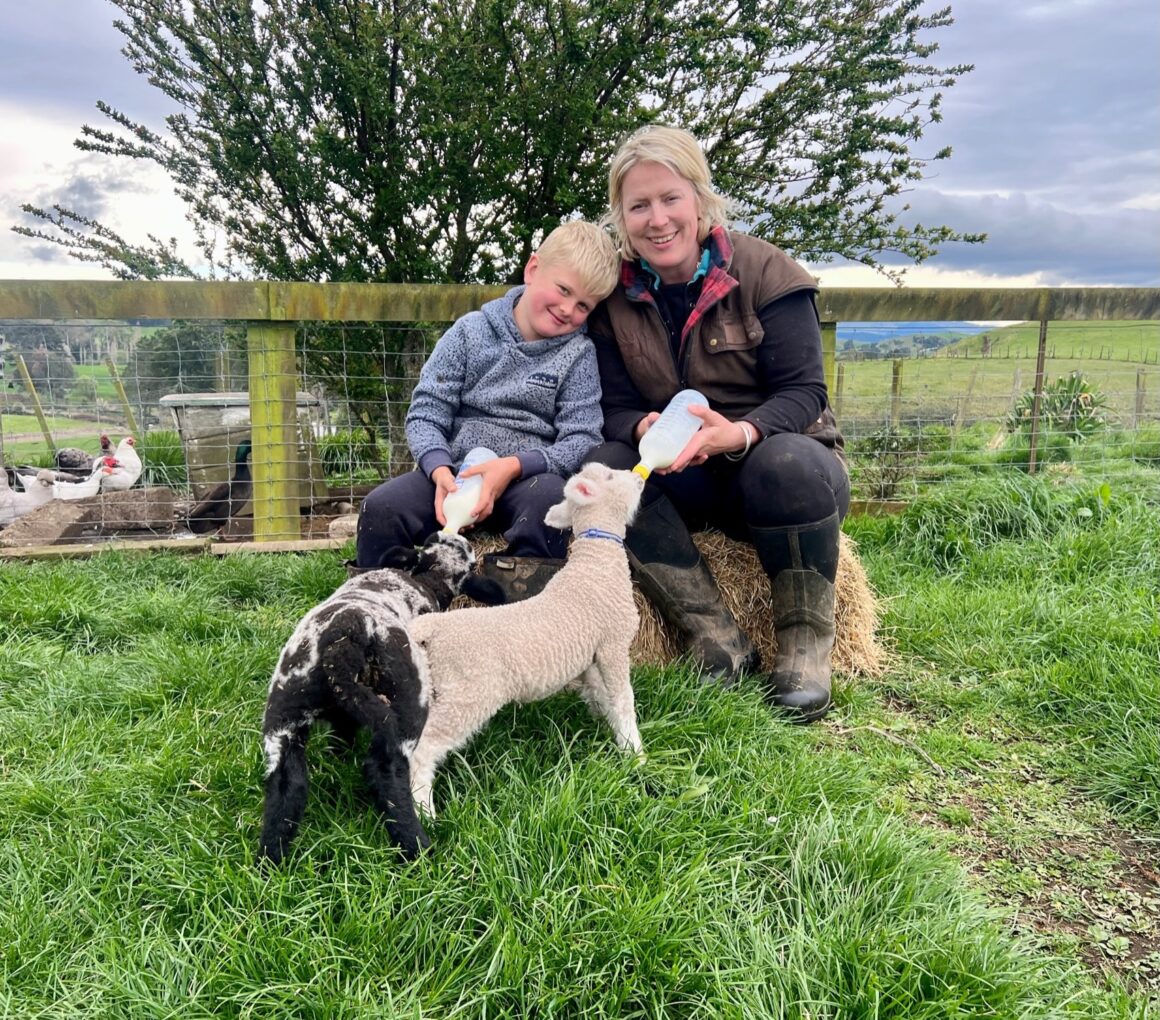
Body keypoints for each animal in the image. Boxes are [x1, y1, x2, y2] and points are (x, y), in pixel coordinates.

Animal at [258, 531, 498, 863]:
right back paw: (419, 851)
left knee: (286, 785)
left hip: (284, 713)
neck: (426, 578)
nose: (454, 535)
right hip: (408, 705)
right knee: (388, 773)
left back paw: (269, 862)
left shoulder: (342, 717)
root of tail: (344, 639)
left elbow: (341, 738)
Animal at [406, 464, 644, 821]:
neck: (596, 562)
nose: (641, 477)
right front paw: (635, 753)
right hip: (469, 693)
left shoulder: (590, 657)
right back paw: (425, 812)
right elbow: (622, 700)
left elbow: (599, 695)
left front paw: (606, 726)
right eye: (612, 478)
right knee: (423, 751)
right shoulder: (613, 645)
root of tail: (431, 627)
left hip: (440, 688)